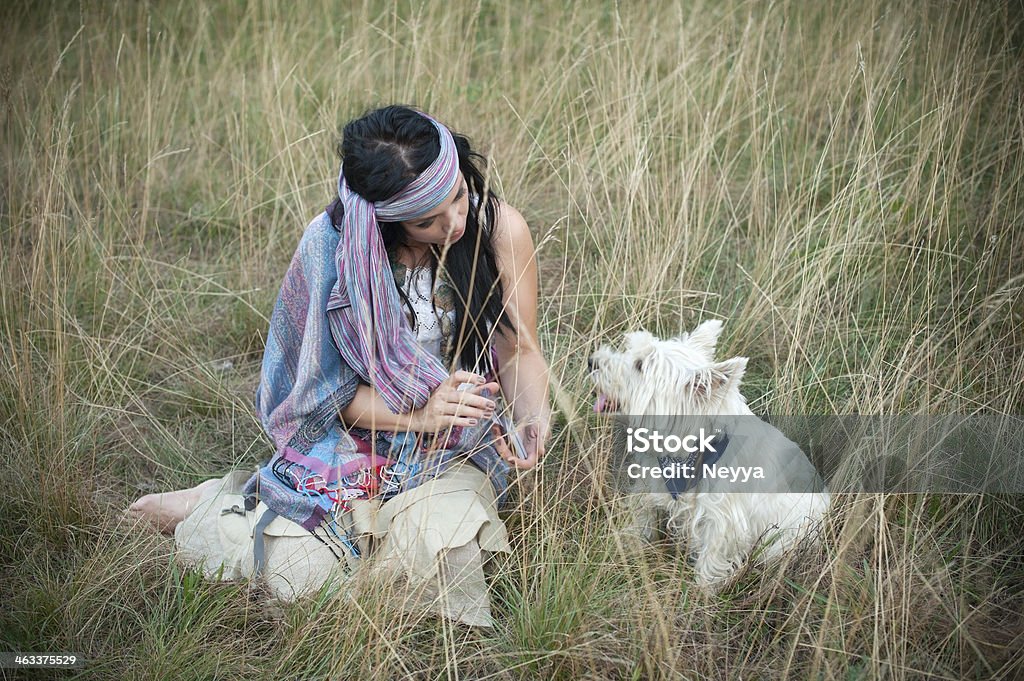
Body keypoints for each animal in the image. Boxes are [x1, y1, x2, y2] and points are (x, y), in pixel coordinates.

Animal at [589, 319, 827, 589]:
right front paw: (629, 545)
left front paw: (701, 594)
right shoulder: (652, 489)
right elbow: (642, 520)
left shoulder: (723, 523)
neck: (690, 452)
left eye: (640, 365)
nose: (592, 361)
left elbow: (710, 562)